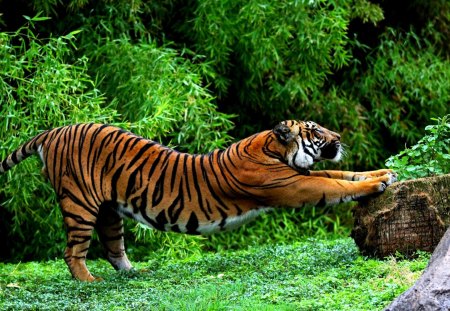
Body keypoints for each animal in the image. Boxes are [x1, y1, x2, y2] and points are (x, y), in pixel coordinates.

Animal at [0, 120, 396, 282]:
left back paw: (134, 273)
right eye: (315, 131)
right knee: (72, 252)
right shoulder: (295, 185)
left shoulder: (301, 175)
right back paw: (89, 281)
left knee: (113, 248)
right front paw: (377, 183)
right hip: (80, 204)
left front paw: (384, 172)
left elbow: (341, 174)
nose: (339, 136)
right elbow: (334, 185)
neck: (273, 149)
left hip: (110, 211)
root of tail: (53, 131)